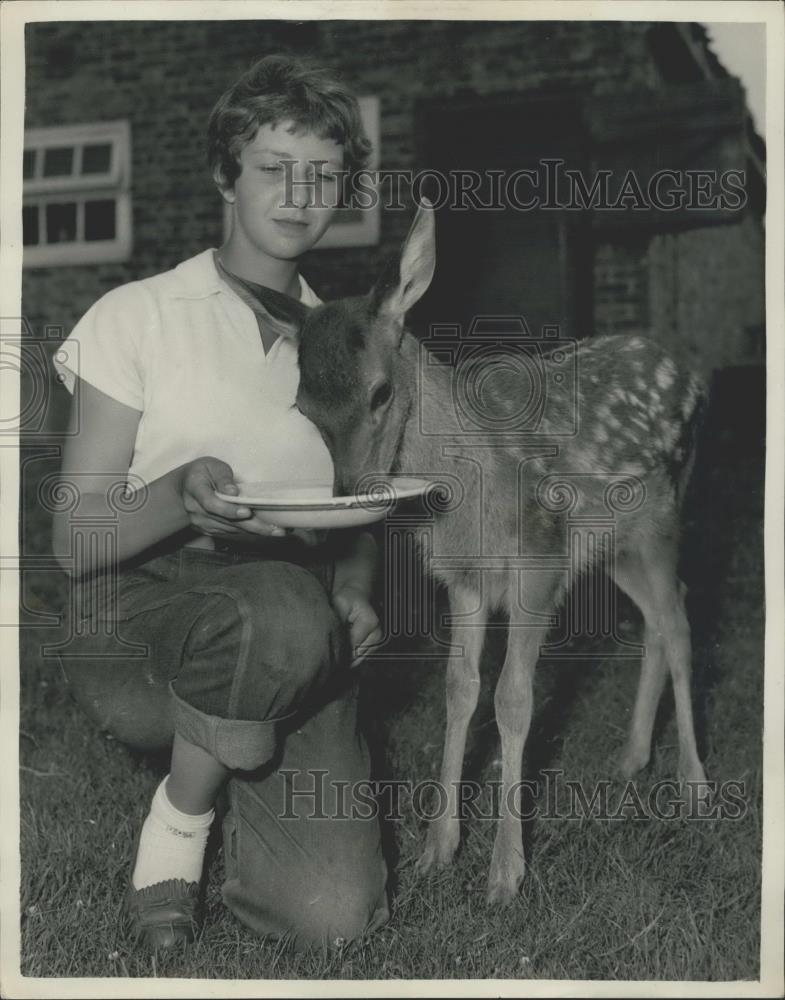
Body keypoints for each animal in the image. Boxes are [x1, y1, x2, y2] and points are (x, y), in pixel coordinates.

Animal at [254, 203, 708, 908]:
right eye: (303, 407)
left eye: (381, 392)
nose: (348, 493)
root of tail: (689, 368)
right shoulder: (464, 577)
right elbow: (459, 689)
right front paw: (436, 848)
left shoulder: (537, 565)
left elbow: (513, 699)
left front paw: (504, 872)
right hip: (614, 544)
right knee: (660, 619)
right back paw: (633, 756)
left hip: (663, 517)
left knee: (681, 621)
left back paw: (693, 783)